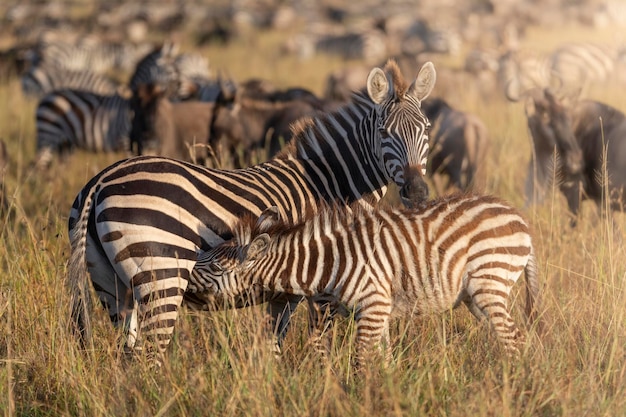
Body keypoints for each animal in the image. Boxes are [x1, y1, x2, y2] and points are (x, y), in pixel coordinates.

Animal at [68, 58, 436, 358]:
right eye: (384, 132)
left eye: (426, 129)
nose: (417, 192)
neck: (329, 186)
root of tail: (100, 181)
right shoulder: (324, 283)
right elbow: (320, 343)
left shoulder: (285, 290)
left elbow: (275, 344)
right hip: (162, 277)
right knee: (148, 354)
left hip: (111, 287)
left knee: (128, 354)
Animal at [193, 193, 540, 366]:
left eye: (216, 267)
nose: (184, 281)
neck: (329, 261)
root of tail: (520, 219)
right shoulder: (378, 309)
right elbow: (382, 358)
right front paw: (386, 390)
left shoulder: (372, 305)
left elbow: (361, 359)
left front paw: (361, 397)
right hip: (476, 297)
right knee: (509, 337)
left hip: (489, 283)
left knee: (515, 339)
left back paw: (515, 384)